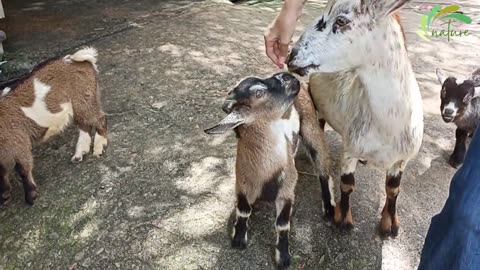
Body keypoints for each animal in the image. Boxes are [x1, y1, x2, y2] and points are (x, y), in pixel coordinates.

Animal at [0, 48, 107, 205]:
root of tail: (80, 59)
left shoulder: (18, 141)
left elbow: (23, 169)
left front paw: (31, 197)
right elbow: (3, 174)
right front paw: (4, 197)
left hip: (84, 99)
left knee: (99, 119)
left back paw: (98, 149)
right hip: (80, 104)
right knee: (84, 125)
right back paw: (79, 154)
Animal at [203, 73, 334, 268]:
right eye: (259, 93)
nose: (285, 76)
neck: (265, 174)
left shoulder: (287, 191)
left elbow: (282, 224)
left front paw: (283, 257)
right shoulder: (241, 184)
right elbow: (243, 210)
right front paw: (239, 238)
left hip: (311, 126)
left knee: (324, 169)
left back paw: (330, 211)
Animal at [286, 0, 422, 236]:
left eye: (341, 21)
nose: (291, 56)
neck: (387, 127)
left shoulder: (402, 159)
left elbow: (393, 190)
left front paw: (390, 224)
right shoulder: (351, 147)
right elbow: (347, 184)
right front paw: (343, 220)